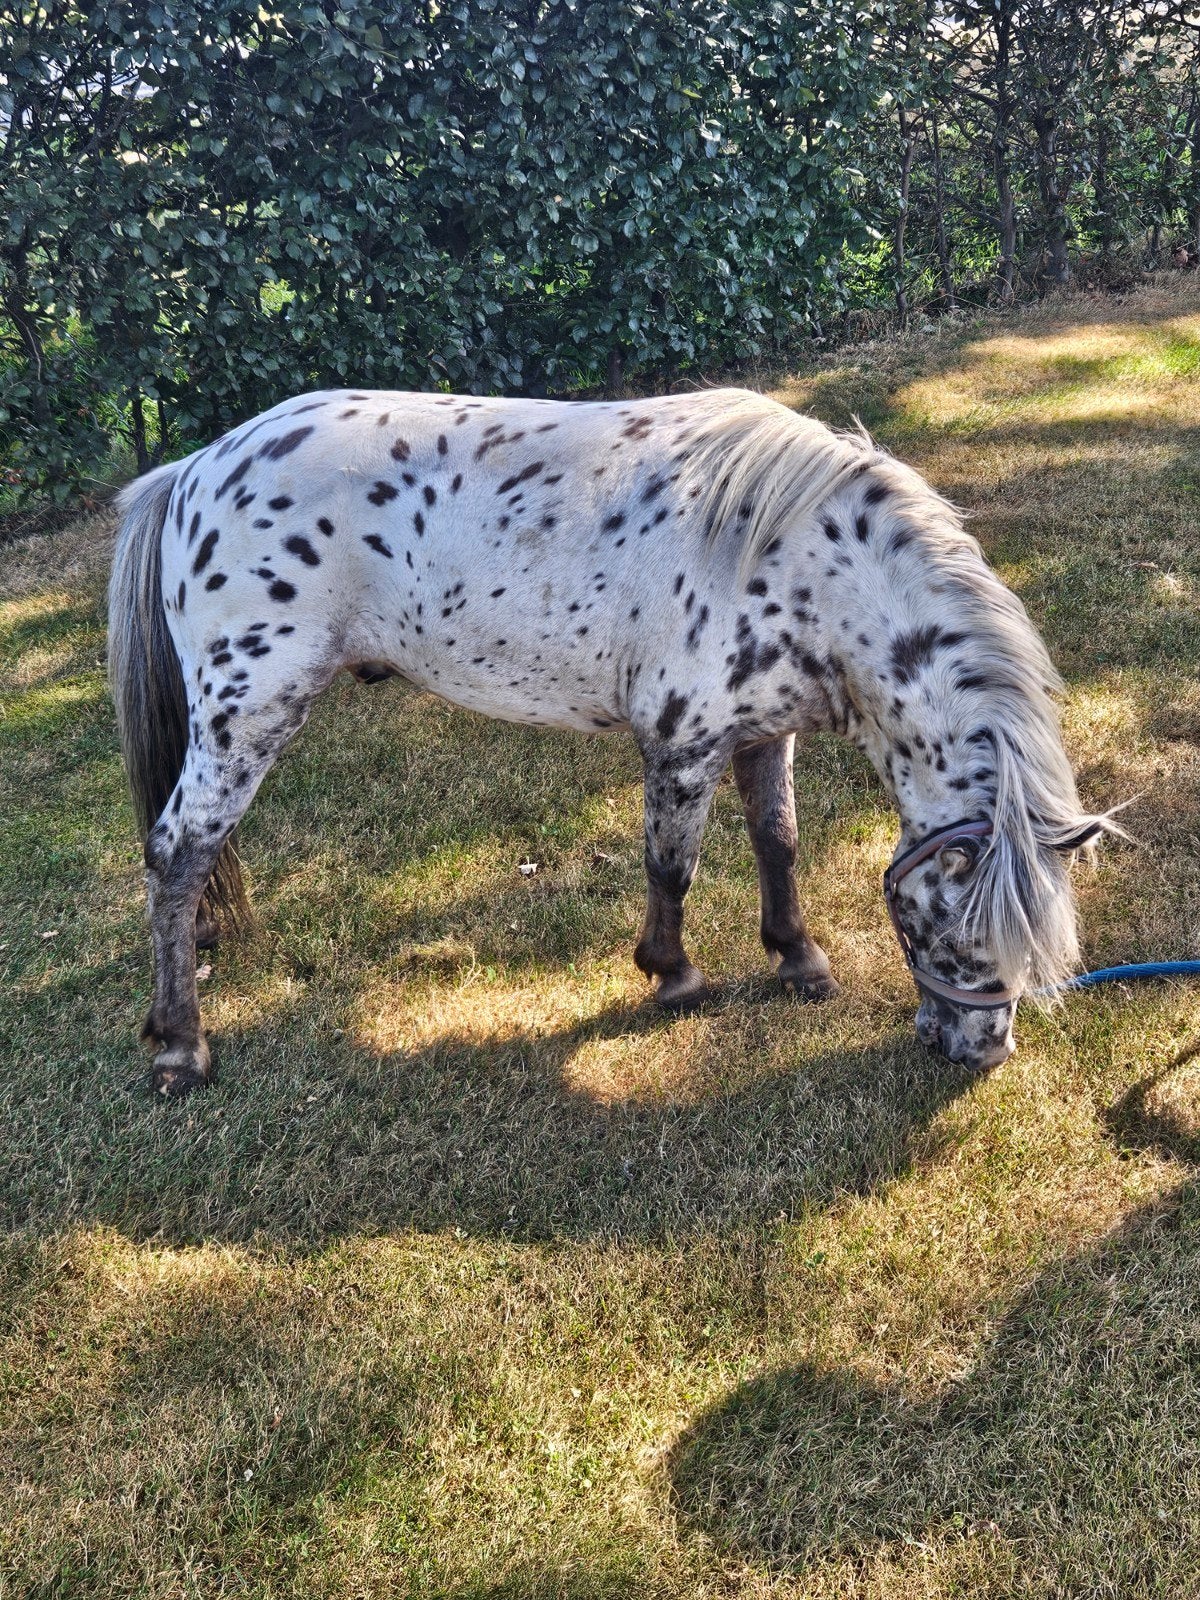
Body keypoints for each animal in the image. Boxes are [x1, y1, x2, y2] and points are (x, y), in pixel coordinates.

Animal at [108, 386, 1109, 1095]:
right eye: (952, 930)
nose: (980, 1054)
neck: (794, 557)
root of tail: (194, 469)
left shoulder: (765, 736)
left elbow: (778, 843)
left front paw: (797, 957)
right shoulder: (682, 742)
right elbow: (673, 865)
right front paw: (673, 976)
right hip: (247, 712)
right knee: (176, 854)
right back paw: (181, 1045)